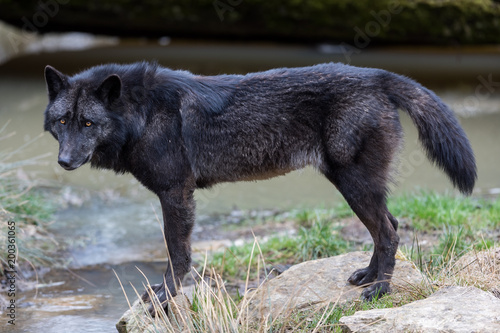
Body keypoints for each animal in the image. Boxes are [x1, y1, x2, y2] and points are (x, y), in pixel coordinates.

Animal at [44, 61, 476, 312]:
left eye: (88, 123)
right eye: (63, 121)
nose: (64, 162)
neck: (142, 112)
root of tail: (378, 76)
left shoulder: (175, 194)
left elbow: (177, 254)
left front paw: (166, 297)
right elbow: (177, 254)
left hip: (354, 185)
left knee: (388, 231)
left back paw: (381, 291)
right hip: (358, 186)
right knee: (392, 226)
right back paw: (368, 277)